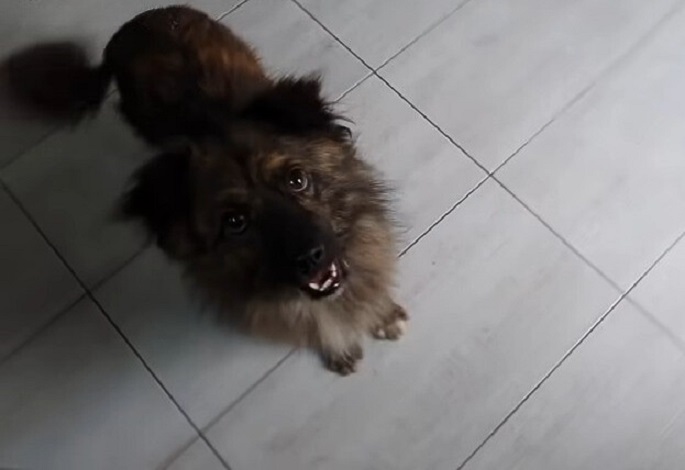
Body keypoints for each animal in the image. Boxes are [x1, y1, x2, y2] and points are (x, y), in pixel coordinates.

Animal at [4, 5, 406, 374]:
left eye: (296, 179)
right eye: (235, 222)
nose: (310, 258)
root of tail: (128, 28)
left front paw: (381, 315)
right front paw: (338, 344)